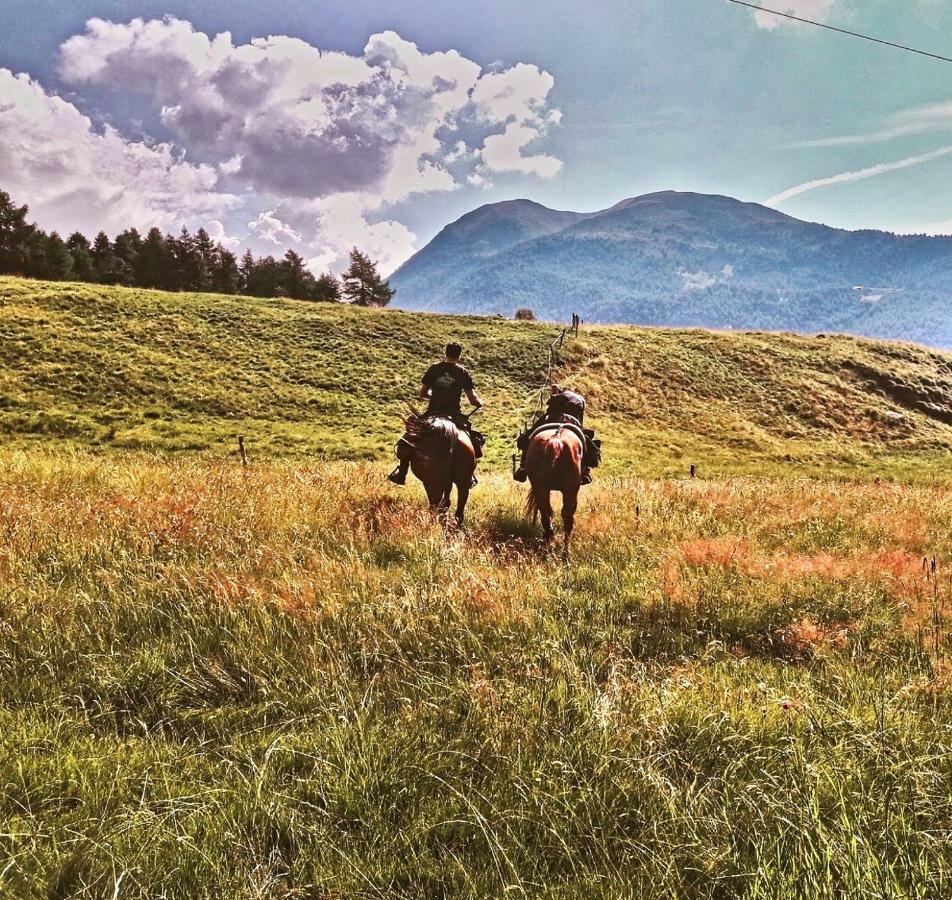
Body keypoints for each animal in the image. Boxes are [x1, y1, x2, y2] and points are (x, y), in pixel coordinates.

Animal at [524, 422, 584, 556]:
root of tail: (556, 441)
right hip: (570, 491)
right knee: (567, 520)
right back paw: (564, 554)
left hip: (541, 490)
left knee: (546, 517)